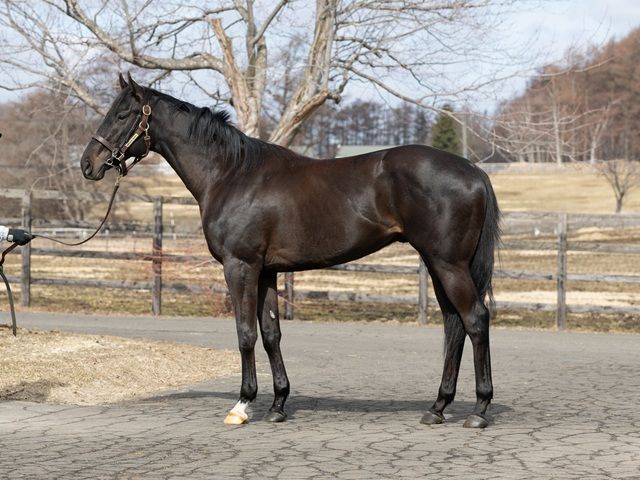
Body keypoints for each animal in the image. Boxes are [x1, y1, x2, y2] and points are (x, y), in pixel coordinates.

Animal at [81, 73, 501, 428]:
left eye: (121, 114)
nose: (88, 164)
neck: (231, 174)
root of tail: (474, 171)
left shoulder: (240, 266)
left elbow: (245, 333)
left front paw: (242, 405)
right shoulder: (267, 271)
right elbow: (271, 334)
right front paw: (278, 405)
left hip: (448, 264)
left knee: (475, 319)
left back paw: (479, 410)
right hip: (437, 263)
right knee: (454, 325)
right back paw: (438, 407)